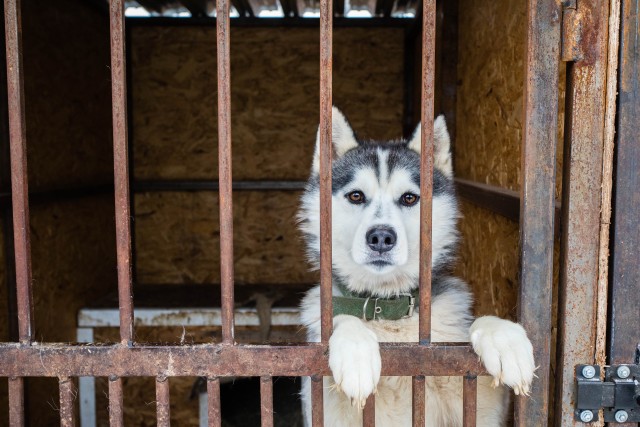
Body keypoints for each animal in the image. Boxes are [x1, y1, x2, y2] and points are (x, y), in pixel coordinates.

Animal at [298, 106, 536, 424]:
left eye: (409, 198)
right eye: (356, 195)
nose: (381, 237)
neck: (389, 308)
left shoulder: (474, 397)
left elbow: (479, 326)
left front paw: (504, 338)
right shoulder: (322, 402)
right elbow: (340, 318)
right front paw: (355, 349)